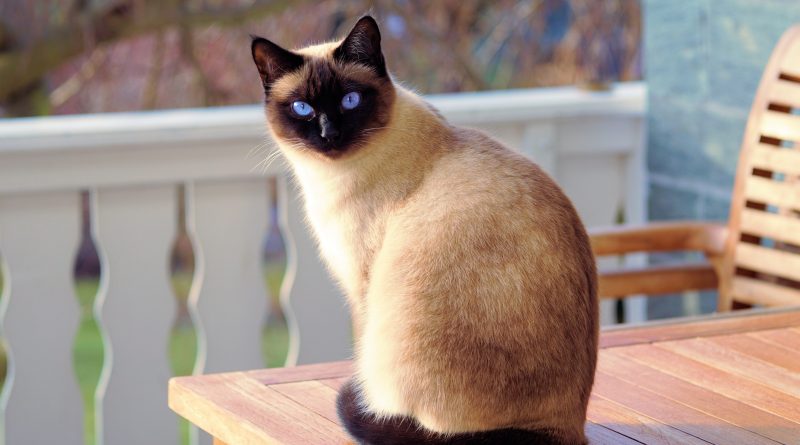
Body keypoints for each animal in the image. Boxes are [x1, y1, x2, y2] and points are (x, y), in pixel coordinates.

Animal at [253, 15, 596, 442]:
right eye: (303, 108)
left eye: (350, 100)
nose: (329, 135)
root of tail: (566, 428)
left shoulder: (362, 285)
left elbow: (361, 353)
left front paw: (367, 400)